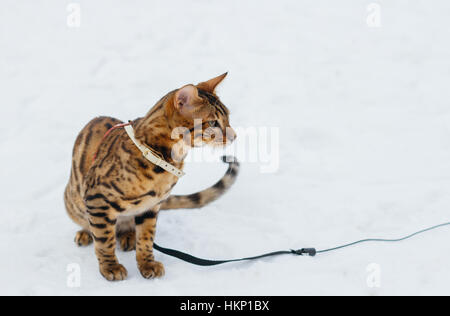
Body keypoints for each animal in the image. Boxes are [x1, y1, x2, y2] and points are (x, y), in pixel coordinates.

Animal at [64, 74, 239, 282]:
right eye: (213, 123)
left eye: (228, 117)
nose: (235, 136)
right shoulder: (97, 197)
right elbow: (104, 239)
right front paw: (110, 267)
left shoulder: (151, 206)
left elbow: (146, 237)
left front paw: (147, 263)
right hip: (73, 201)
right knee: (88, 222)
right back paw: (85, 233)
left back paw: (128, 236)